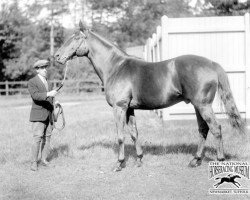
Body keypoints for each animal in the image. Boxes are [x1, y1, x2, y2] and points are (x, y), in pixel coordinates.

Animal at [54, 20, 244, 172]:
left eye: (76, 38)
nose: (56, 56)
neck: (115, 67)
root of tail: (212, 64)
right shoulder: (129, 109)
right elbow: (134, 134)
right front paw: (139, 160)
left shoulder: (119, 107)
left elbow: (121, 136)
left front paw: (119, 164)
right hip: (198, 106)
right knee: (203, 130)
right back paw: (195, 161)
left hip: (203, 105)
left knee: (216, 129)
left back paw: (220, 161)